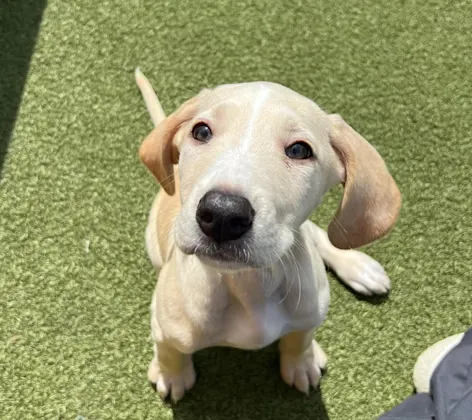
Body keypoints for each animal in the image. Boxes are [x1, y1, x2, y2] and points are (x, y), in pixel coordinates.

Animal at [135, 69, 400, 404]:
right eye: (202, 131)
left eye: (299, 150)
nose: (223, 215)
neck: (250, 285)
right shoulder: (167, 328)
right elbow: (170, 350)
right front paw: (172, 375)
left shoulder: (309, 312)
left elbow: (300, 338)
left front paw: (302, 362)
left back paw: (358, 267)